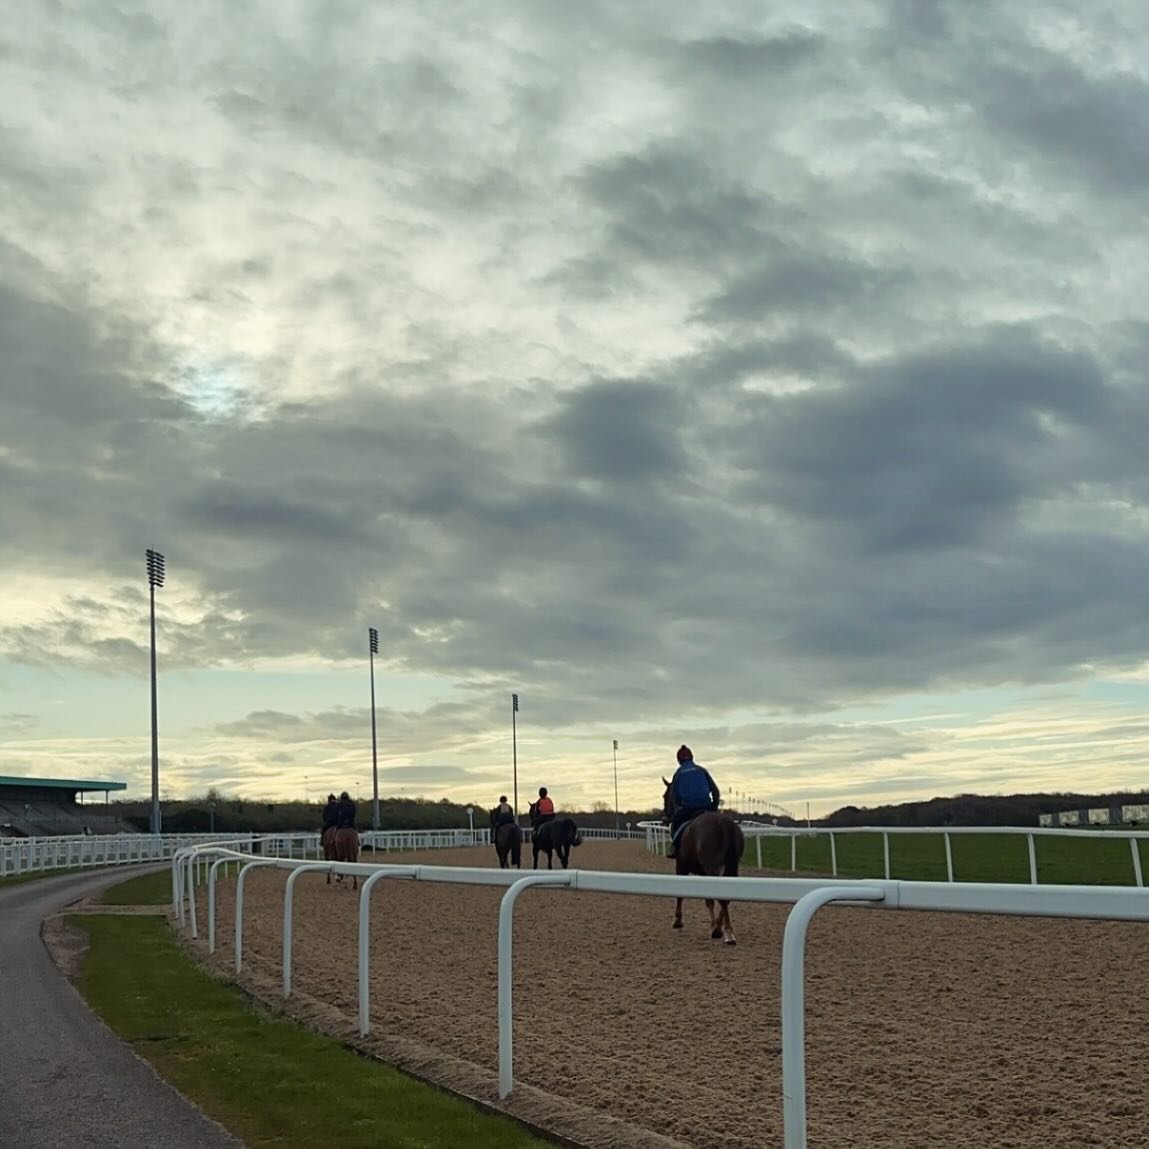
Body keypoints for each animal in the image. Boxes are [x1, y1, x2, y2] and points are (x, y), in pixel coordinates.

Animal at [666, 776, 744, 946]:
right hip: (730, 866)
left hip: (712, 866)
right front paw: (715, 925)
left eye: (665, 796)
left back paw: (726, 932)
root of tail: (724, 823)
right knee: (726, 898)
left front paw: (678, 920)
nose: (665, 815)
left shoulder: (681, 866)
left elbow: (682, 894)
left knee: (721, 897)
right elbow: (709, 899)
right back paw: (724, 929)